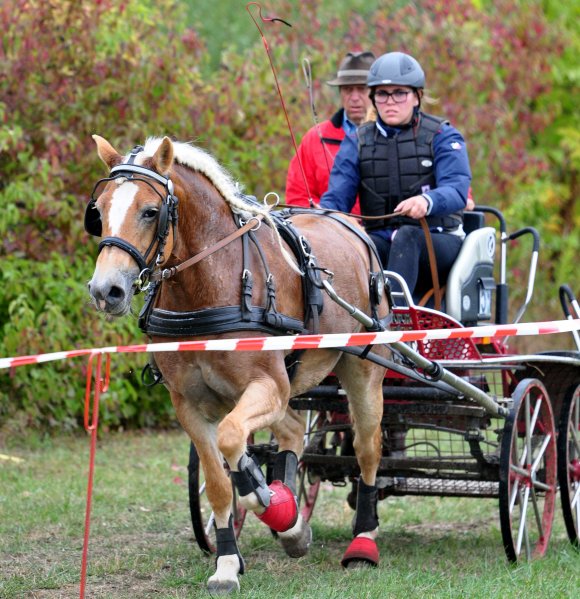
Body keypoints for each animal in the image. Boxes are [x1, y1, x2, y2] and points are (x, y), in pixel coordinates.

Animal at [86, 137, 392, 596]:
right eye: (100, 210)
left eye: (150, 211)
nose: (107, 290)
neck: (210, 284)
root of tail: (348, 225)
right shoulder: (189, 404)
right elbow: (217, 480)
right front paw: (229, 561)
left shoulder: (268, 385)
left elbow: (233, 441)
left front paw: (260, 493)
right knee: (290, 431)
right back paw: (291, 525)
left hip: (362, 371)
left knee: (367, 449)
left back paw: (363, 539)